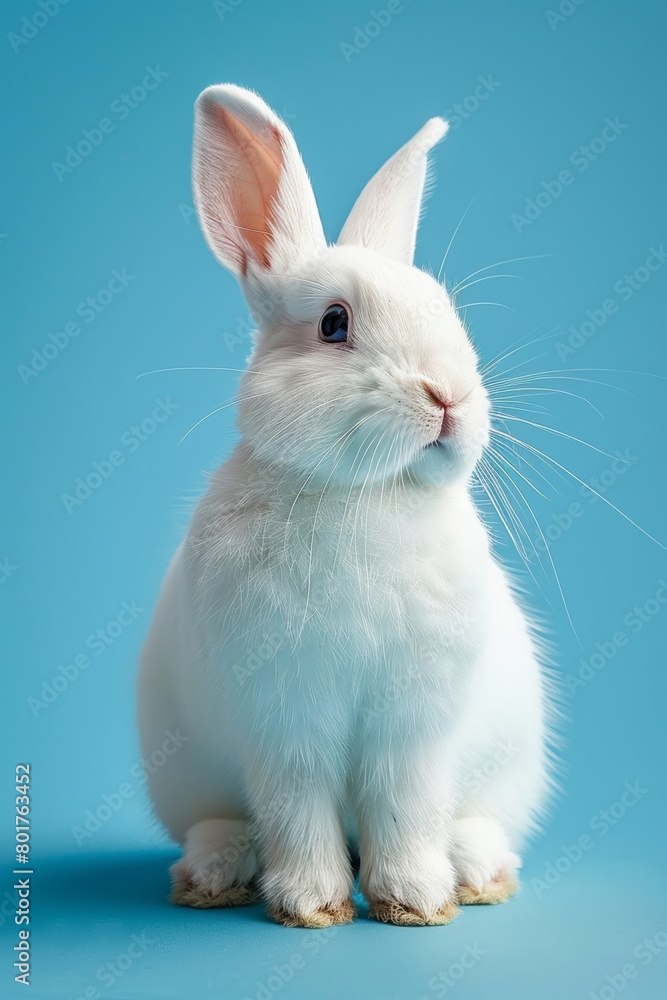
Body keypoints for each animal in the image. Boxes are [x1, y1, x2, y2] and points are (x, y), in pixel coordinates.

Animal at [138, 86, 556, 928]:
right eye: (334, 323)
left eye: (447, 312)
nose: (449, 396)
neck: (367, 497)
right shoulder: (283, 718)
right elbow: (298, 808)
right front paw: (310, 902)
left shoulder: (413, 723)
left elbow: (406, 803)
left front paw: (415, 899)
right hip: (186, 774)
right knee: (221, 820)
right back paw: (215, 874)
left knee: (472, 819)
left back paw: (475, 870)